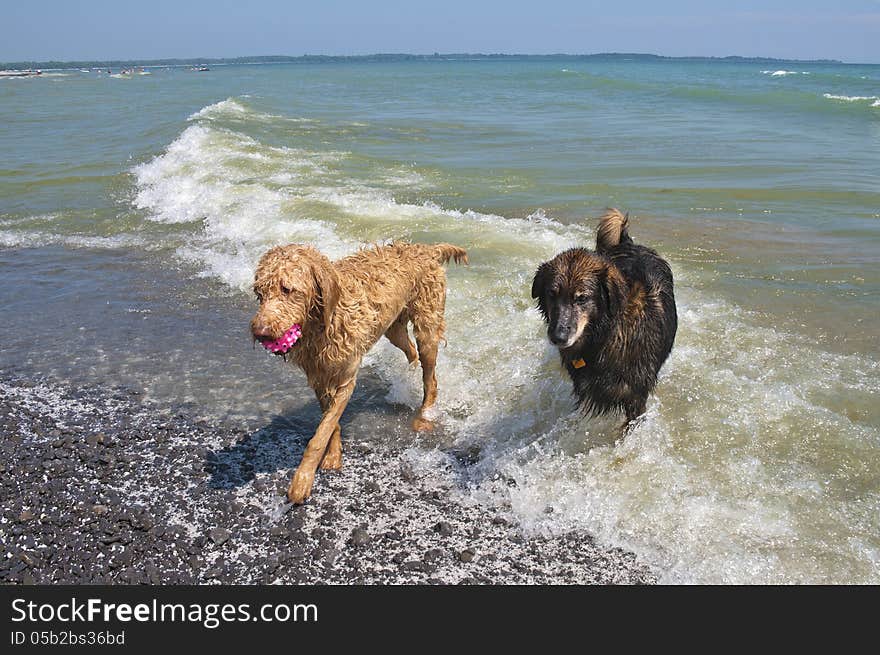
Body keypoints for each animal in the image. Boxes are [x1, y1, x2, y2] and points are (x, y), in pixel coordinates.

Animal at [249, 243, 468, 504]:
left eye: (287, 289)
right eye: (260, 293)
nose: (260, 332)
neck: (322, 325)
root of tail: (424, 248)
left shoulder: (345, 380)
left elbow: (320, 433)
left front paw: (302, 480)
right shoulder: (320, 379)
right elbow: (329, 423)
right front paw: (333, 455)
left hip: (427, 326)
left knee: (430, 377)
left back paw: (424, 415)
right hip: (393, 329)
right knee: (411, 352)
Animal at [528, 209, 680, 426]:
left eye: (582, 298)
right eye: (551, 294)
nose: (558, 337)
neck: (605, 335)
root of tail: (627, 242)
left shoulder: (636, 396)